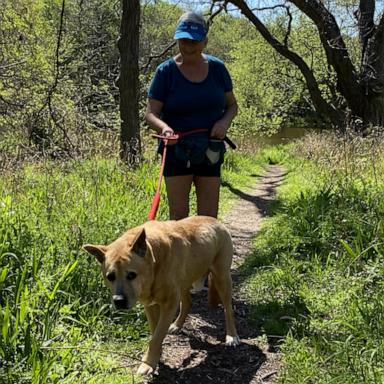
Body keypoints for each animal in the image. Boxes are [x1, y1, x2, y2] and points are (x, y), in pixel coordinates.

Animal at [83, 216, 240, 376]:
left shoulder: (169, 304)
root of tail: (215, 220)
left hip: (222, 277)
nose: (119, 301)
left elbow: (157, 337)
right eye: (110, 277)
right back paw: (177, 325)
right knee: (188, 303)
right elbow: (155, 333)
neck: (154, 261)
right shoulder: (150, 306)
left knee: (228, 309)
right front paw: (155, 357)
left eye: (131, 275)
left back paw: (232, 336)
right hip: (184, 282)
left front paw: (147, 363)